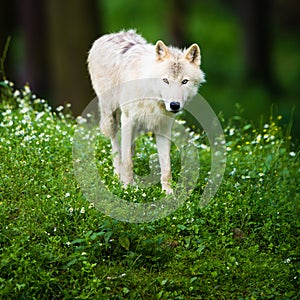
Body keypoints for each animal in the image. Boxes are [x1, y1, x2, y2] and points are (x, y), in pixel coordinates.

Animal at [86, 29, 204, 193]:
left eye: (184, 81)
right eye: (165, 80)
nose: (174, 105)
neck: (151, 96)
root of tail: (112, 34)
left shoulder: (163, 127)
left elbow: (166, 165)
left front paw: (168, 193)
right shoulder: (128, 119)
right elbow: (127, 161)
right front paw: (128, 188)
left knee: (130, 148)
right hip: (111, 117)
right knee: (116, 147)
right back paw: (117, 177)